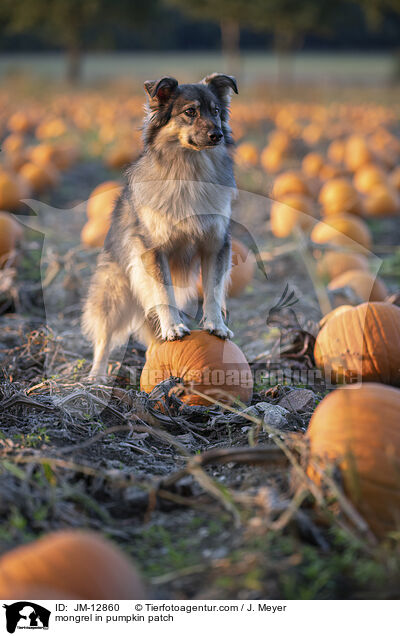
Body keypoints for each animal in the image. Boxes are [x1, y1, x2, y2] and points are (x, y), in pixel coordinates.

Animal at [81, 74, 238, 382]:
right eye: (190, 112)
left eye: (215, 111)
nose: (217, 135)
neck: (190, 172)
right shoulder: (153, 250)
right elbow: (164, 293)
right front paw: (174, 327)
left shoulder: (215, 244)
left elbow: (213, 290)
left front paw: (216, 325)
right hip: (114, 291)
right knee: (104, 335)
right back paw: (97, 375)